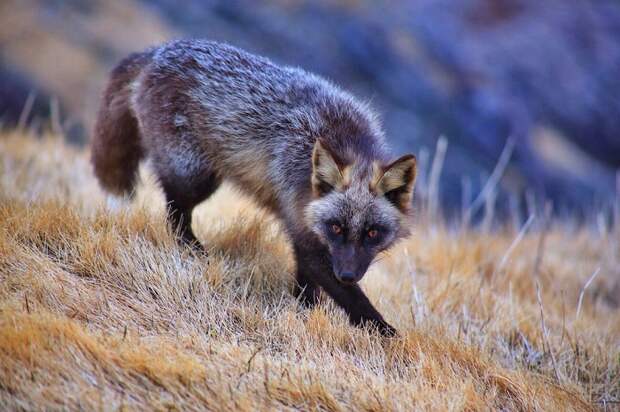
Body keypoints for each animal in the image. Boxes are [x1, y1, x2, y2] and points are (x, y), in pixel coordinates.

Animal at [92, 38, 416, 336]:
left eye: (372, 233)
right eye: (336, 227)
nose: (347, 274)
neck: (345, 140)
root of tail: (158, 50)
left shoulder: (307, 232)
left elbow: (306, 284)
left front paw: (304, 312)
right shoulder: (303, 228)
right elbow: (348, 296)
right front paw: (386, 334)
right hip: (195, 177)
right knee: (175, 212)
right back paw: (194, 252)